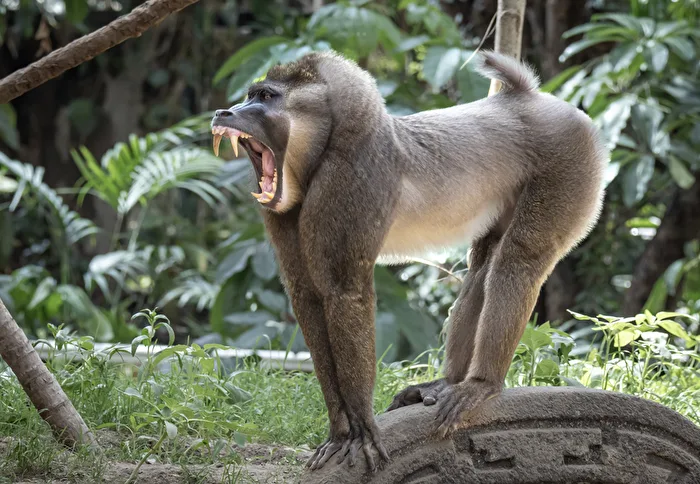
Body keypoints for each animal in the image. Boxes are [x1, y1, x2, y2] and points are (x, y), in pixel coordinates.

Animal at [210, 50, 608, 472]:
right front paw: (340, 432)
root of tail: (531, 99)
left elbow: (344, 292)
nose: (224, 112)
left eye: (266, 96)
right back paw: (449, 382)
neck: (325, 144)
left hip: (568, 165)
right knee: (481, 271)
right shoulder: (286, 216)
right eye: (251, 94)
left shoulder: (349, 180)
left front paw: (362, 430)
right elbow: (309, 299)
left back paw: (482, 385)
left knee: (517, 263)